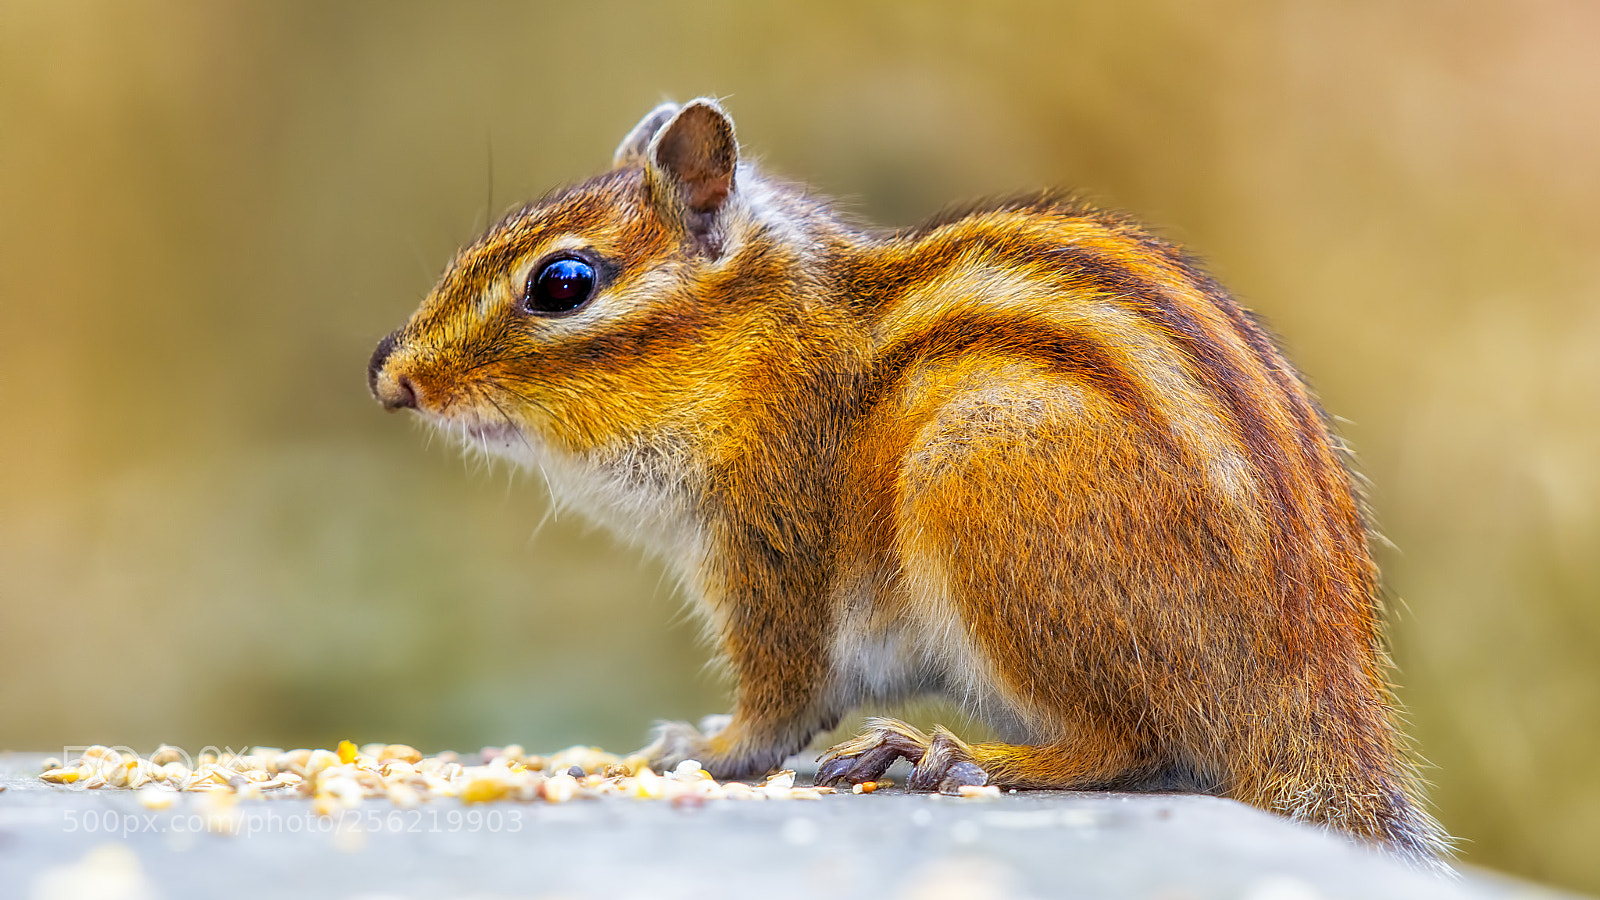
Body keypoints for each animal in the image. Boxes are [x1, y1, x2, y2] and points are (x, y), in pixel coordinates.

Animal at [368, 98, 1449, 865]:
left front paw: (707, 752)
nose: (390, 377)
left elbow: (782, 696)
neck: (767, 347)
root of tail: (1316, 697)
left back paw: (957, 755)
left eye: (563, 283)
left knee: (1135, 743)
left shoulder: (774, 553)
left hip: (983, 487)